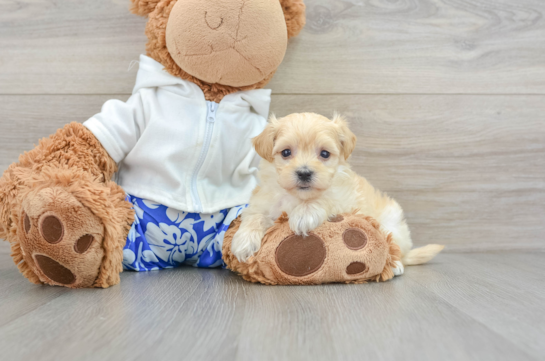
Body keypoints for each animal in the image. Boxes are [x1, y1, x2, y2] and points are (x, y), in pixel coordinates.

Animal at [231, 111, 442, 272]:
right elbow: (254, 216)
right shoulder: (263, 202)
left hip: (393, 224)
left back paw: (395, 265)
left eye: (324, 154)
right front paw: (244, 241)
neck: (298, 197)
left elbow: (326, 198)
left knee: (394, 246)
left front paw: (304, 214)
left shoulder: (345, 200)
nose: (304, 173)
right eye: (286, 152)